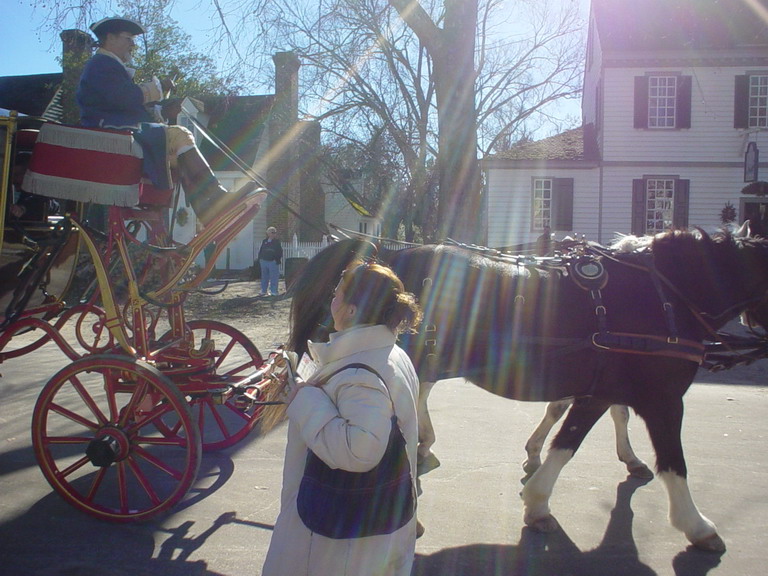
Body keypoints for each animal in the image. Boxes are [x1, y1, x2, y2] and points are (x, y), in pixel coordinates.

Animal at [286, 227, 768, 552]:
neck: (665, 292)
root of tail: (382, 252)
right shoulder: (662, 399)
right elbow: (671, 462)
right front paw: (696, 525)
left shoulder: (600, 390)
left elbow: (572, 433)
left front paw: (542, 490)